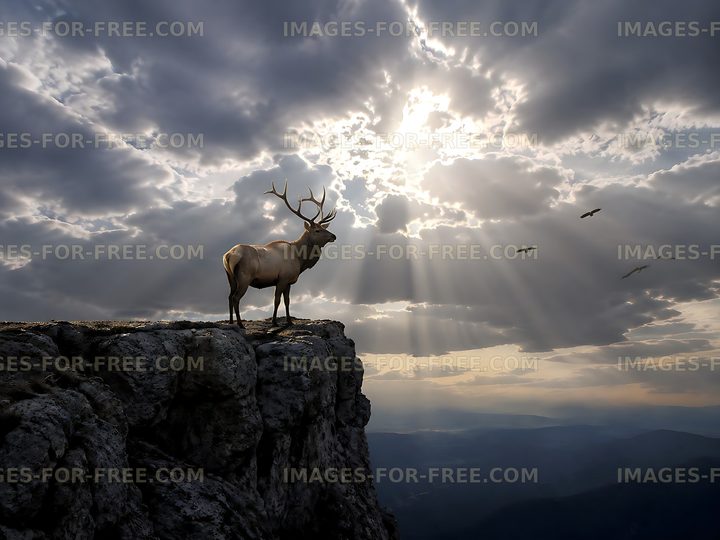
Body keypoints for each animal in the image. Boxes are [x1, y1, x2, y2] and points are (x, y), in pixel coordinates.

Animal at [222, 181, 337, 328]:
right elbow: (277, 300)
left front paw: (289, 321)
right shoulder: (282, 278)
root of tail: (229, 255)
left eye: (324, 228)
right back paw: (240, 324)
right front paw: (274, 321)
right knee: (236, 297)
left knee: (229, 296)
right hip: (244, 277)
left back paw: (231, 322)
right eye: (317, 230)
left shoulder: (289, 281)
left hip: (230, 276)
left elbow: (287, 301)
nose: (334, 236)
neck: (300, 260)